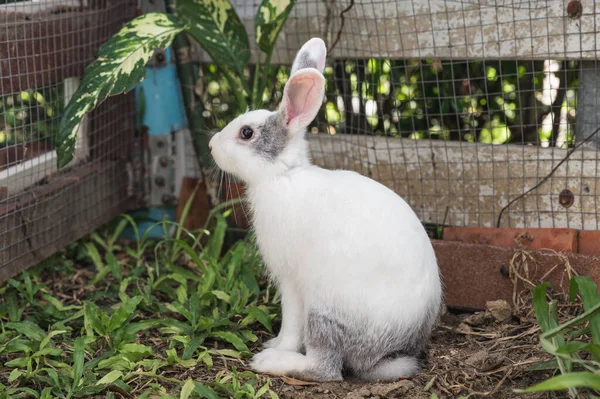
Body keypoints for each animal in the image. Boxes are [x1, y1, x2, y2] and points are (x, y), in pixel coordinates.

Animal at [209, 38, 442, 384]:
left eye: (247, 133)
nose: (211, 145)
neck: (283, 175)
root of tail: (386, 355)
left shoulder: (291, 282)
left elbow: (291, 324)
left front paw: (278, 347)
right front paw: (272, 342)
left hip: (325, 313)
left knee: (326, 368)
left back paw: (271, 362)